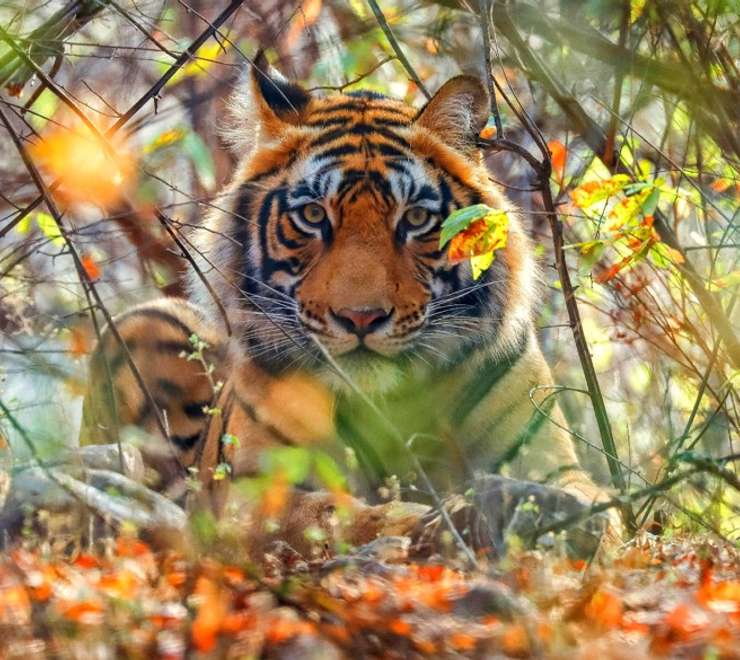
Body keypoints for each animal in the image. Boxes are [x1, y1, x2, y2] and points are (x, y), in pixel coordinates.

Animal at [81, 59, 621, 548]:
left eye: (416, 218)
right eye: (313, 215)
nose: (361, 317)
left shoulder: (547, 460)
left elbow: (594, 502)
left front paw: (556, 514)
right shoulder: (252, 491)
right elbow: (330, 514)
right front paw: (425, 521)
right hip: (143, 321)